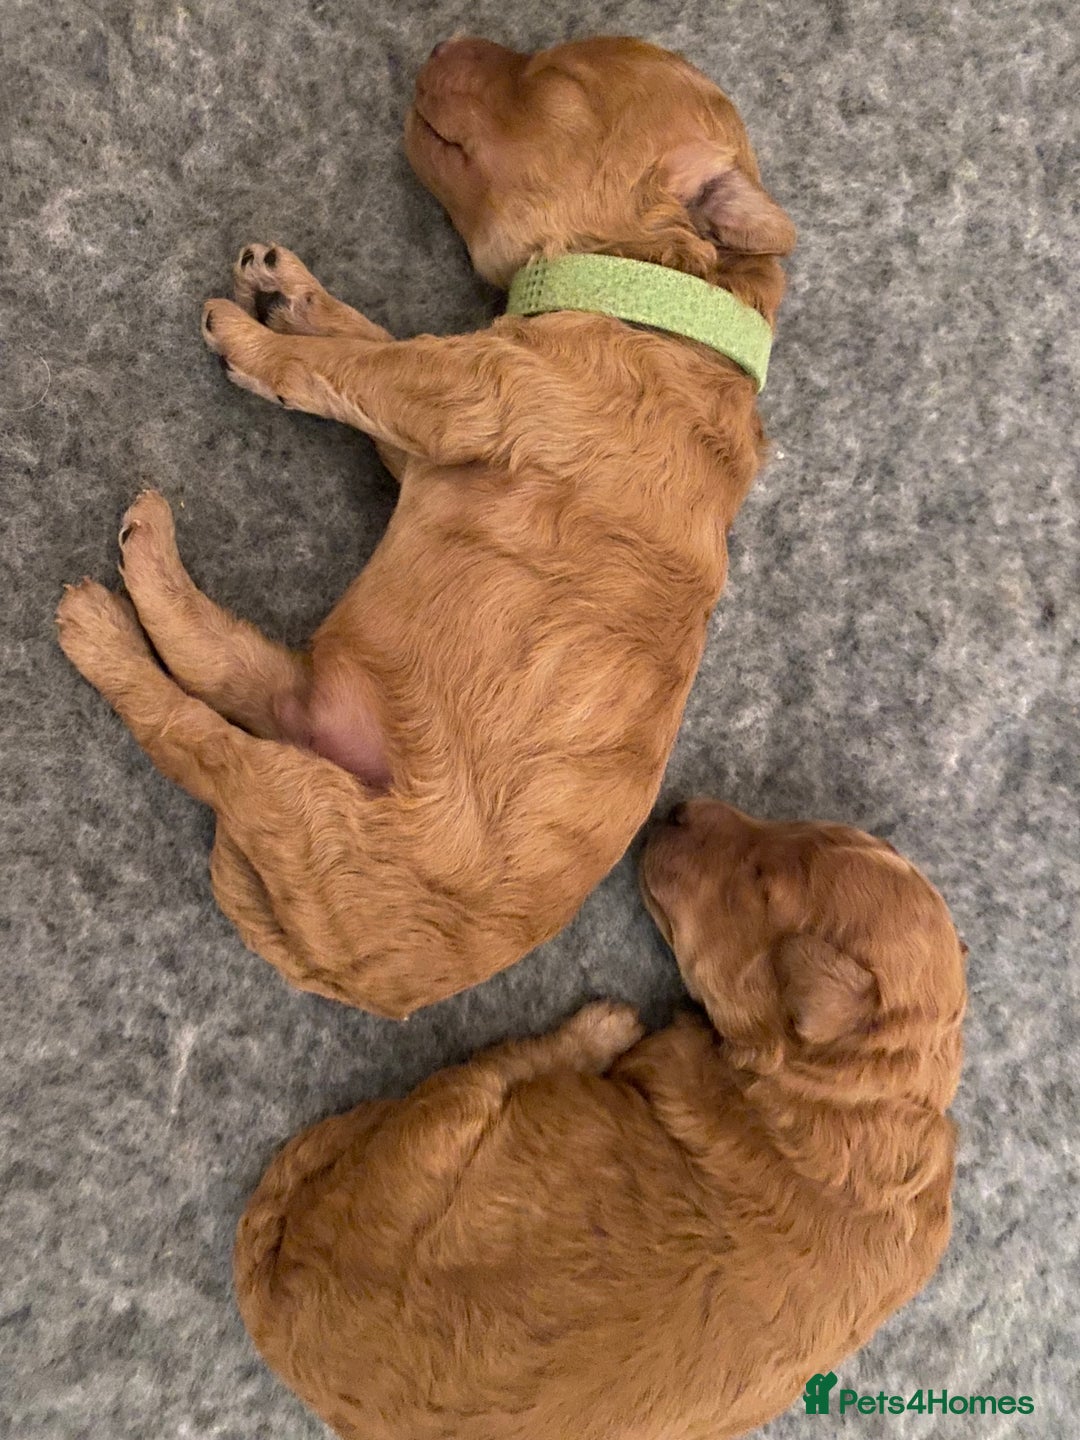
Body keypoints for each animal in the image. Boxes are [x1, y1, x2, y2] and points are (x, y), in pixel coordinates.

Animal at [56, 37, 795, 1016]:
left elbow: (354, 367)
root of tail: (352, 979)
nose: (445, 42)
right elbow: (366, 340)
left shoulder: (462, 393)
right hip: (309, 706)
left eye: (560, 80)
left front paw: (260, 345)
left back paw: (102, 624)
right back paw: (150, 561)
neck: (656, 293)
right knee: (223, 667)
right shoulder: (425, 447)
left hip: (305, 807)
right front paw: (295, 293)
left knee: (191, 737)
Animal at [233, 801, 966, 1439]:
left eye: (758, 885)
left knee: (505, 1061)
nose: (679, 807)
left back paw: (597, 1028)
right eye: (793, 827)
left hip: (446, 1118)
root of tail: (276, 1305)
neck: (866, 1095)